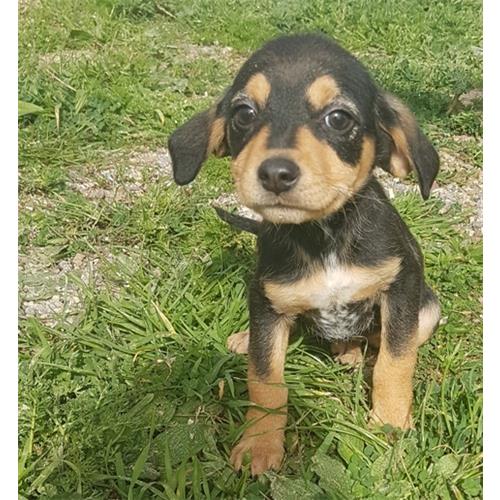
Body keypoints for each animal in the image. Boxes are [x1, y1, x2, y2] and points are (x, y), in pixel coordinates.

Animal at [168, 34, 441, 476]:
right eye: (244, 113)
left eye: (339, 119)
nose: (275, 174)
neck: (322, 237)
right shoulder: (266, 300)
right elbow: (265, 379)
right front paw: (260, 444)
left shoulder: (403, 285)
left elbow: (395, 361)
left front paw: (389, 424)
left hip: (428, 309)